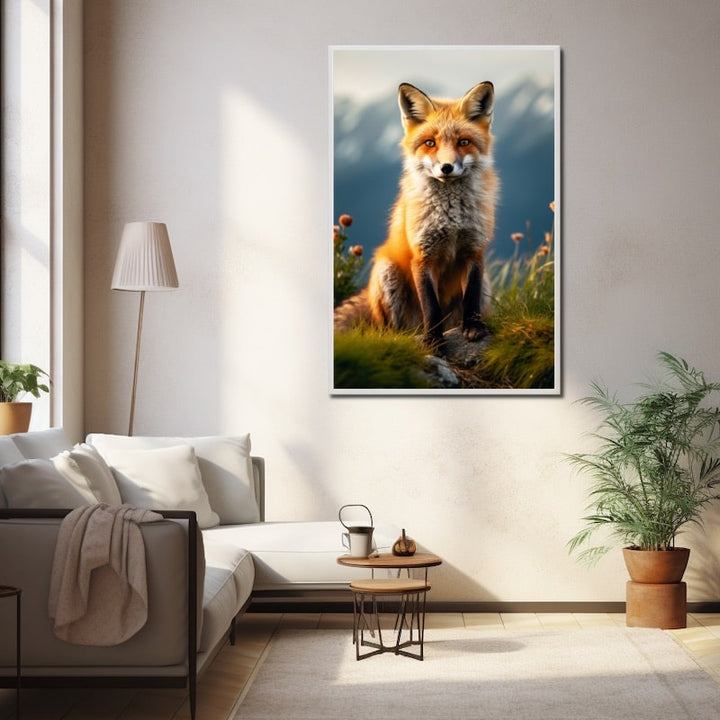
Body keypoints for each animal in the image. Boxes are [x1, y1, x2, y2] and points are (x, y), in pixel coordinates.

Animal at [334, 81, 498, 349]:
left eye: (463, 142)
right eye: (430, 143)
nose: (446, 167)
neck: (451, 219)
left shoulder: (474, 251)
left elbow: (471, 299)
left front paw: (473, 328)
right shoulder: (423, 255)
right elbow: (430, 305)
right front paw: (433, 339)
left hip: (485, 282)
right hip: (387, 274)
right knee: (393, 330)